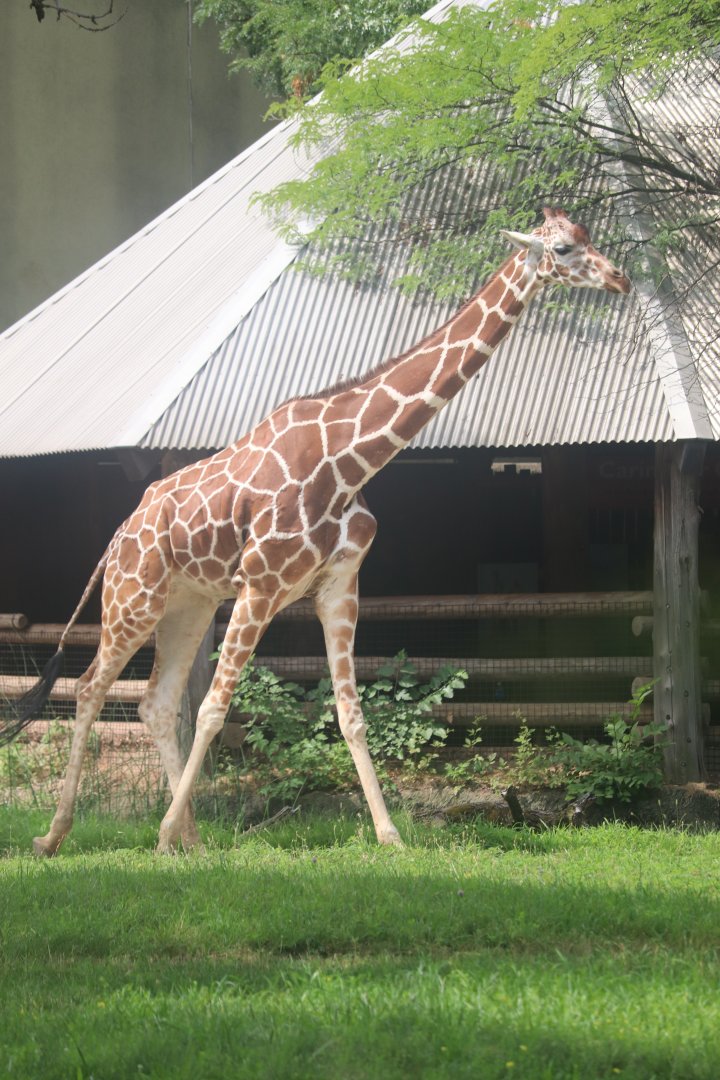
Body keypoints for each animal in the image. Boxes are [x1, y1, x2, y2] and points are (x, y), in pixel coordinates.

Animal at [2, 207, 630, 855]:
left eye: (588, 237)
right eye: (563, 248)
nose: (620, 278)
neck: (348, 463)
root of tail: (116, 539)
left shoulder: (339, 587)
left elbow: (350, 714)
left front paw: (390, 836)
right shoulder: (259, 585)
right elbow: (215, 709)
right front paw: (160, 832)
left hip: (189, 604)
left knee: (155, 701)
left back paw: (190, 840)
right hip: (135, 598)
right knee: (89, 687)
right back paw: (57, 836)